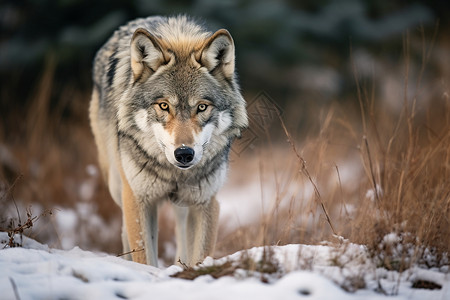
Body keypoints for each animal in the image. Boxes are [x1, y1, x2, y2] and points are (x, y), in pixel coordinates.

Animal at [89, 15, 248, 266]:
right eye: (164, 106)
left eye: (201, 107)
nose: (184, 153)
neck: (174, 174)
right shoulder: (138, 200)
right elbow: (144, 256)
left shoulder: (206, 203)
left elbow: (200, 255)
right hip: (117, 184)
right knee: (124, 227)